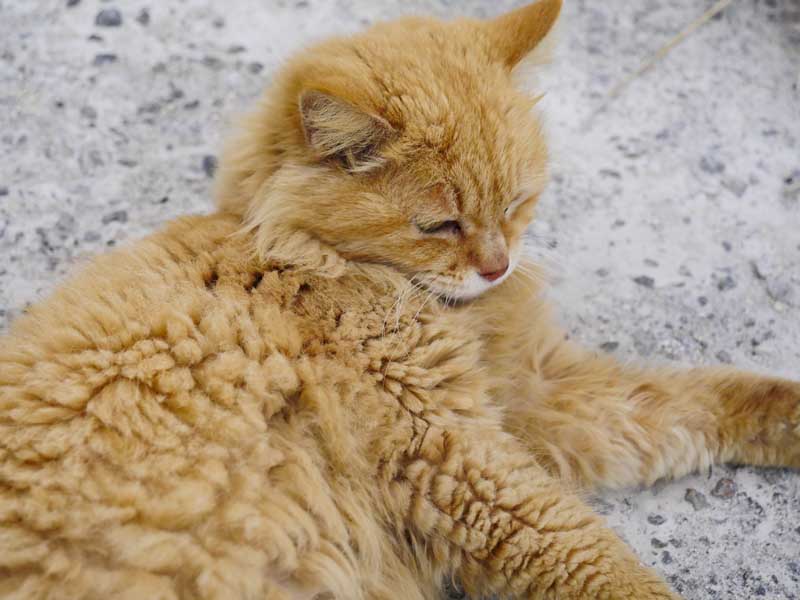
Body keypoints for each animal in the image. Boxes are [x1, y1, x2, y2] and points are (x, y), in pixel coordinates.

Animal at [1, 1, 798, 598]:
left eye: (516, 203)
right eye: (440, 225)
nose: (497, 267)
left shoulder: (534, 399)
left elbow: (693, 402)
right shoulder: (461, 459)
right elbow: (596, 558)